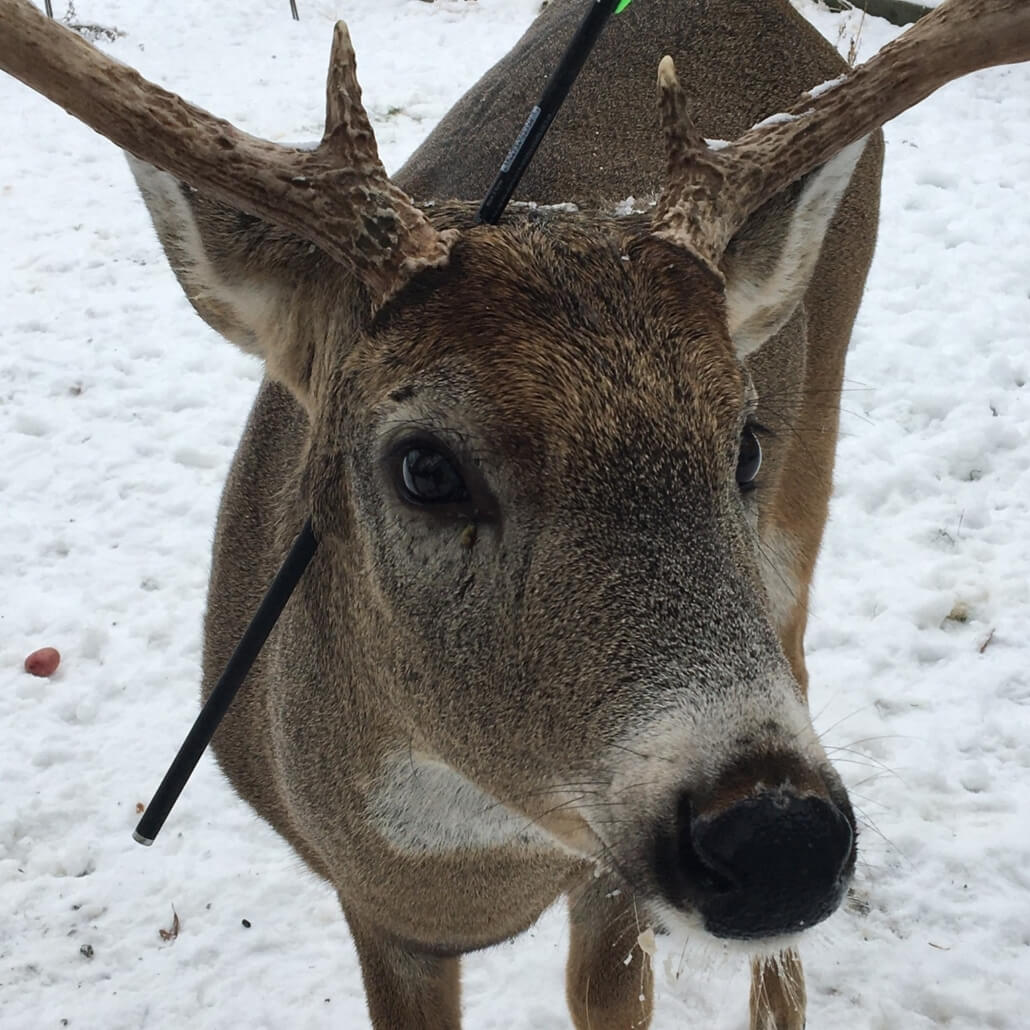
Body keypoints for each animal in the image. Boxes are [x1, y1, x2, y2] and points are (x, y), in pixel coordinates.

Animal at [2, 0, 1028, 1026]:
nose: (780, 840)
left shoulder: (605, 883)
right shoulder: (378, 914)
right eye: (424, 467)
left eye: (743, 443)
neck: (479, 873)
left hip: (814, 456)